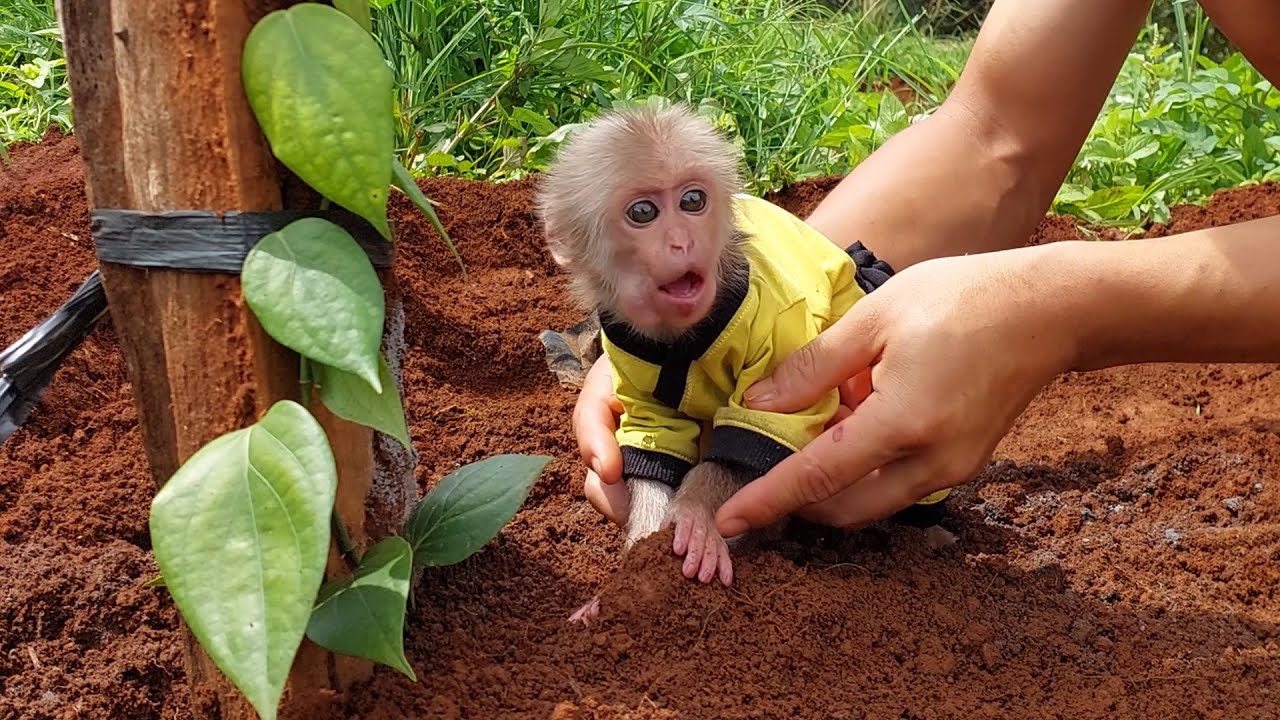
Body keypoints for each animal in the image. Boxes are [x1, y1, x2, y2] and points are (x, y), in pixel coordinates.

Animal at [534, 102, 949, 625]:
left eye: (693, 201)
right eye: (643, 213)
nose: (681, 241)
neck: (683, 337)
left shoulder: (780, 322)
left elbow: (761, 431)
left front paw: (694, 516)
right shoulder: (629, 347)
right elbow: (655, 438)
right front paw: (636, 566)